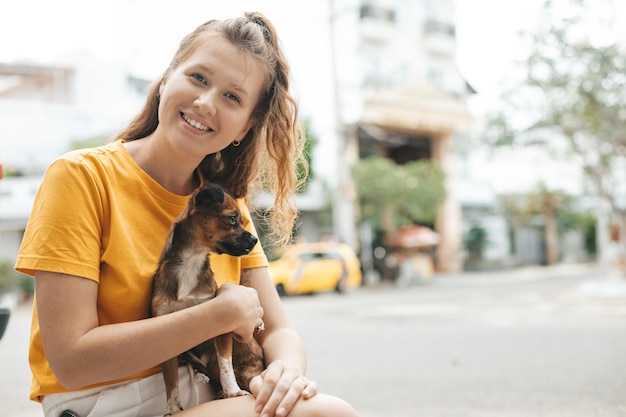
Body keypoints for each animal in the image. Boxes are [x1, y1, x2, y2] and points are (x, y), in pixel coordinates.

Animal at [153, 183, 266, 416]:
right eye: (232, 219)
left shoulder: (221, 328)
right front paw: (173, 408)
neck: (191, 261)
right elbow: (171, 381)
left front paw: (232, 391)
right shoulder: (166, 338)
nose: (255, 240)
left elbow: (225, 365)